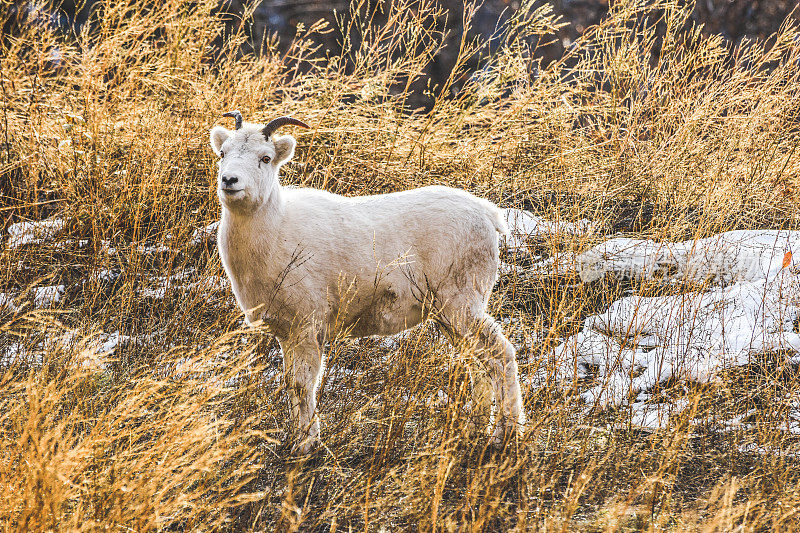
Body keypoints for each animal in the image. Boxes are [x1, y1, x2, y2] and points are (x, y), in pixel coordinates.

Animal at [209, 112, 528, 454]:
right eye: (223, 153)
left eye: (265, 158)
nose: (230, 181)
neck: (275, 232)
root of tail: (488, 214)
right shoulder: (286, 332)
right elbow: (291, 384)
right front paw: (297, 440)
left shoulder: (307, 326)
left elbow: (303, 383)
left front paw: (307, 445)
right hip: (448, 316)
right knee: (476, 362)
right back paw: (473, 431)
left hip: (461, 304)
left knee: (500, 355)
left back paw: (504, 436)